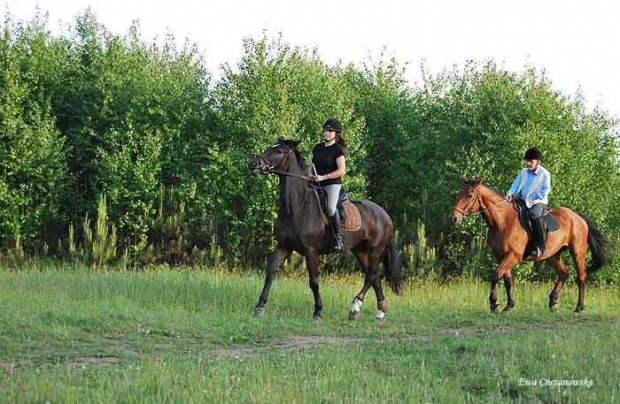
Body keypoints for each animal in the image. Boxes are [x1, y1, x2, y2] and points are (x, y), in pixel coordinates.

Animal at [248, 140, 402, 322]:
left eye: (279, 151)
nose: (253, 165)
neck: (297, 207)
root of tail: (385, 215)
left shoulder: (311, 251)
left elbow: (314, 282)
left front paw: (318, 312)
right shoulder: (284, 246)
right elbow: (270, 272)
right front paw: (259, 306)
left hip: (375, 249)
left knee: (371, 275)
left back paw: (355, 306)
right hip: (360, 250)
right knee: (375, 276)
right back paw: (379, 311)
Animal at [450, 177, 612, 312]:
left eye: (470, 195)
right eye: (458, 195)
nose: (454, 219)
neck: (502, 221)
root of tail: (577, 216)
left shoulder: (513, 256)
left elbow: (495, 275)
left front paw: (494, 305)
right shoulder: (501, 256)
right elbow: (506, 279)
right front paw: (508, 305)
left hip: (577, 251)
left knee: (581, 277)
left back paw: (579, 307)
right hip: (552, 255)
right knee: (564, 273)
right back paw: (553, 302)